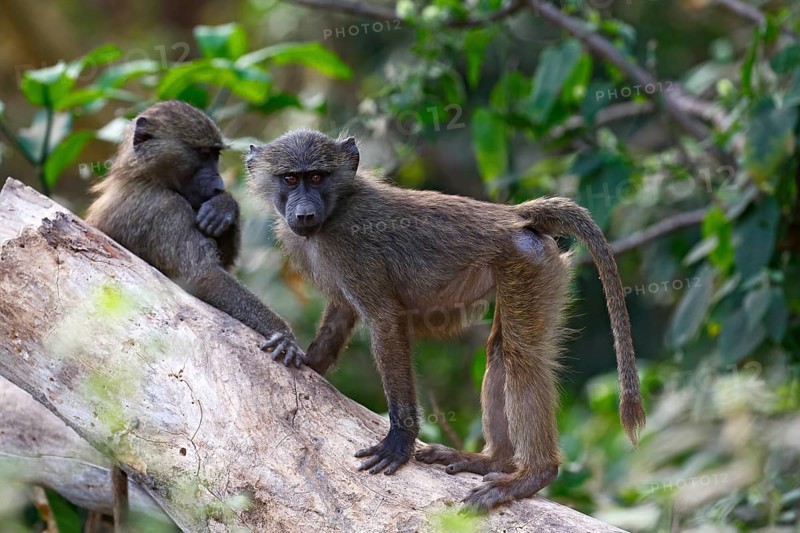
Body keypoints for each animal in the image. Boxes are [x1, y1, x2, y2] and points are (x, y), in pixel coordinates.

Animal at [246, 129, 645, 512]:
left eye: (316, 176)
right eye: (290, 179)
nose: (304, 215)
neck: (336, 209)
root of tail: (512, 215)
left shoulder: (353, 249)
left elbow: (384, 320)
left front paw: (399, 441)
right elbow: (342, 311)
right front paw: (306, 359)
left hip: (528, 262)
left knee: (521, 359)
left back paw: (532, 475)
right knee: (500, 351)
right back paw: (491, 461)